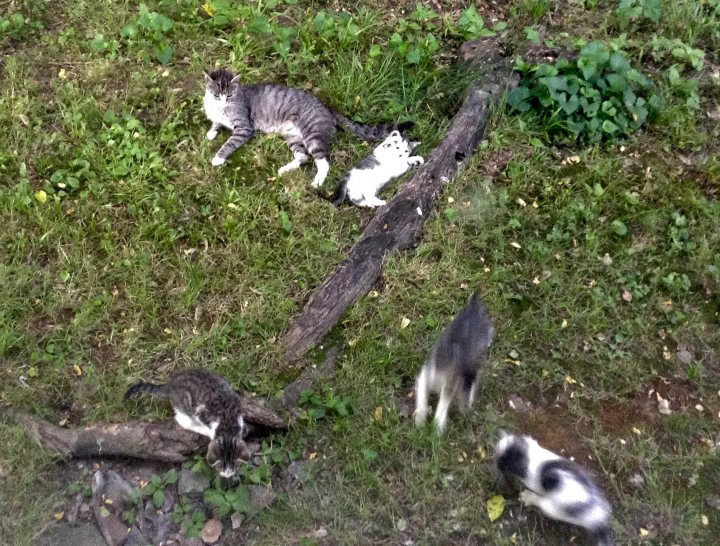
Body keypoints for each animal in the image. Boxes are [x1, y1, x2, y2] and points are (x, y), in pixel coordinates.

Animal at [205, 68, 414, 188]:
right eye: (216, 95)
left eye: (229, 95)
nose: (223, 101)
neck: (220, 109)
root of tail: (328, 108)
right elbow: (215, 123)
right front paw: (211, 132)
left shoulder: (244, 127)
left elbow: (230, 143)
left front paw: (217, 158)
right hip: (293, 137)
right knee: (303, 157)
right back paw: (284, 170)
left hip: (312, 135)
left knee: (323, 162)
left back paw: (317, 182)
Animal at [416, 292, 496, 432]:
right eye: (466, 387)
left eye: (472, 386)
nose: (468, 410)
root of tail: (474, 306)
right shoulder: (428, 374)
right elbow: (423, 393)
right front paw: (423, 421)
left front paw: (435, 426)